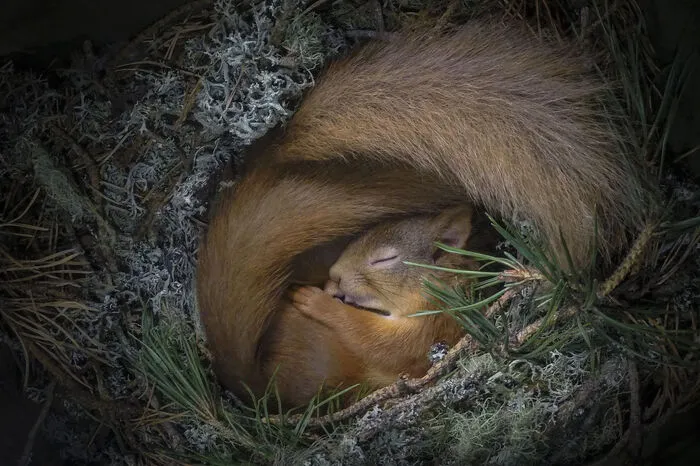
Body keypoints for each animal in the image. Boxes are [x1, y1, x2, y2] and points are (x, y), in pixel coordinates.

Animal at [196, 20, 653, 407]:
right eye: (357, 238)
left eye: (386, 258)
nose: (334, 277)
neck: (443, 285)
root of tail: (253, 387)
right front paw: (325, 290)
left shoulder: (432, 328)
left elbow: (381, 343)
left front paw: (318, 300)